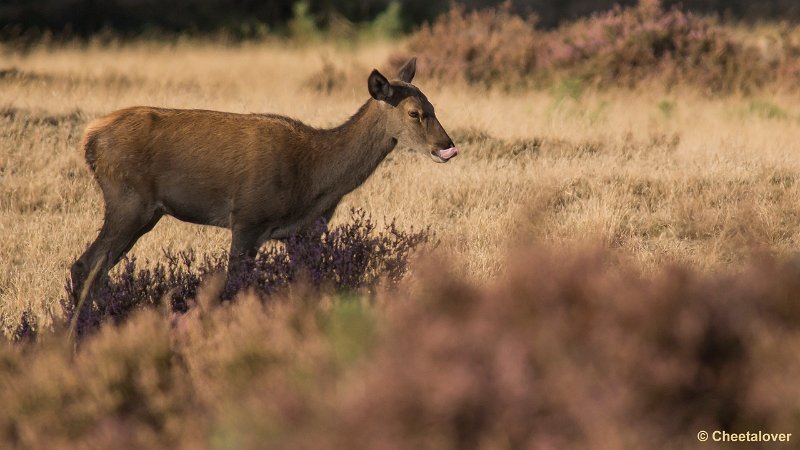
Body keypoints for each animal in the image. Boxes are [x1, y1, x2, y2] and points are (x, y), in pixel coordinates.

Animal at [70, 56, 456, 314]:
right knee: (84, 266)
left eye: (434, 105)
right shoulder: (248, 218)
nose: (447, 146)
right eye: (414, 113)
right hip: (127, 199)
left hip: (144, 212)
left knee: (96, 269)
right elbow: (232, 286)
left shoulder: (305, 231)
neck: (313, 178)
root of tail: (89, 139)